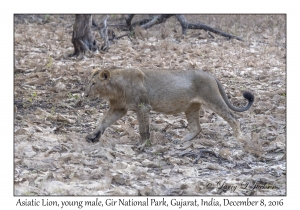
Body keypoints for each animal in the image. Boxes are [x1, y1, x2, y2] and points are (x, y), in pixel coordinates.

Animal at [84, 67, 253, 148]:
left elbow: (143, 129)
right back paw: (181, 141)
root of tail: (211, 75)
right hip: (191, 107)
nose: (85, 95)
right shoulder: (119, 108)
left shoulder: (143, 106)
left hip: (213, 99)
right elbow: (103, 121)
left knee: (233, 118)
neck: (115, 89)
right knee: (196, 128)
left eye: (93, 84)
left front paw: (143, 145)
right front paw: (92, 136)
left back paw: (240, 138)